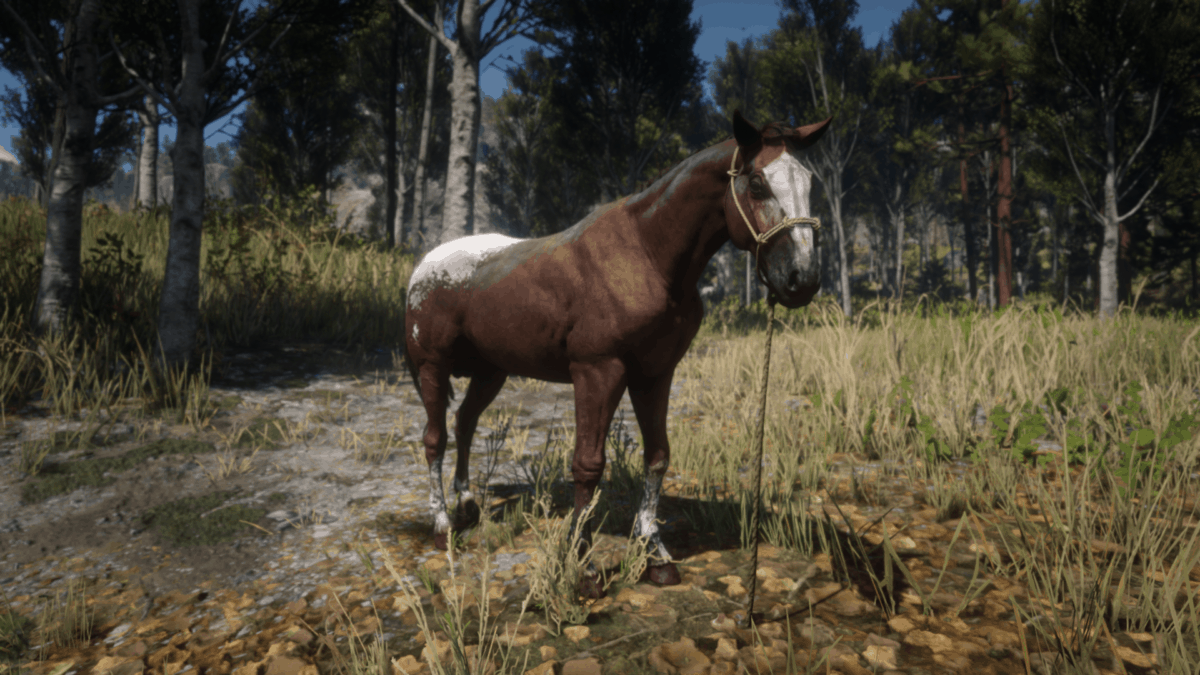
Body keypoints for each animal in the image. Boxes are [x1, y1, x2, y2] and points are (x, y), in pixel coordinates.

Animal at [403, 110, 830, 588]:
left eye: (809, 182)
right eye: (756, 183)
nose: (801, 279)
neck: (646, 253)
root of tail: (423, 268)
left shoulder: (656, 373)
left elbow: (657, 456)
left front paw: (655, 553)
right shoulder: (597, 371)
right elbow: (588, 464)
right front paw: (583, 563)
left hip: (491, 371)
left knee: (464, 423)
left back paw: (467, 505)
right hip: (432, 367)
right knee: (435, 438)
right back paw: (442, 525)